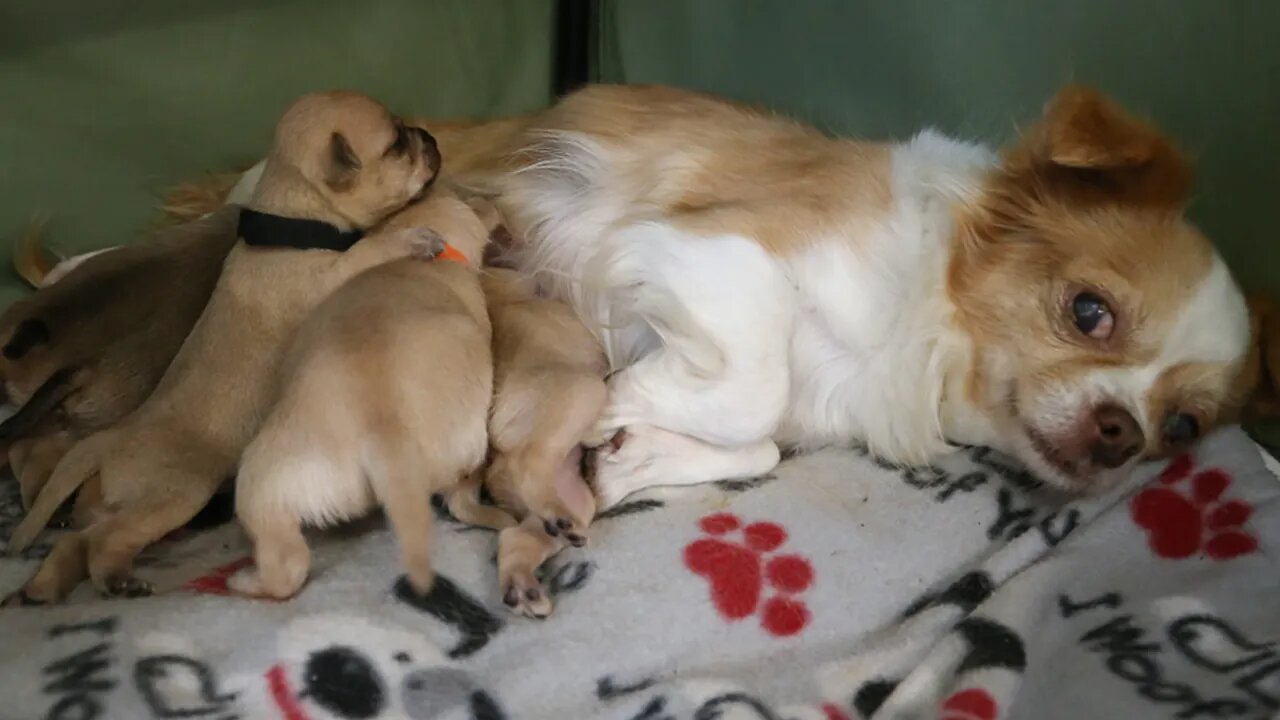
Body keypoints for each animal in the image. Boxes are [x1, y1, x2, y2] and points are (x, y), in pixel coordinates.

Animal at [207, 82, 1249, 504]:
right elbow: (754, 384)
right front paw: (620, 400)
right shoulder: (719, 244)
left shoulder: (806, 409)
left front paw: (632, 453)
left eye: (1183, 428)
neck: (917, 338)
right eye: (1088, 311)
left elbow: (759, 446)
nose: (1121, 436)